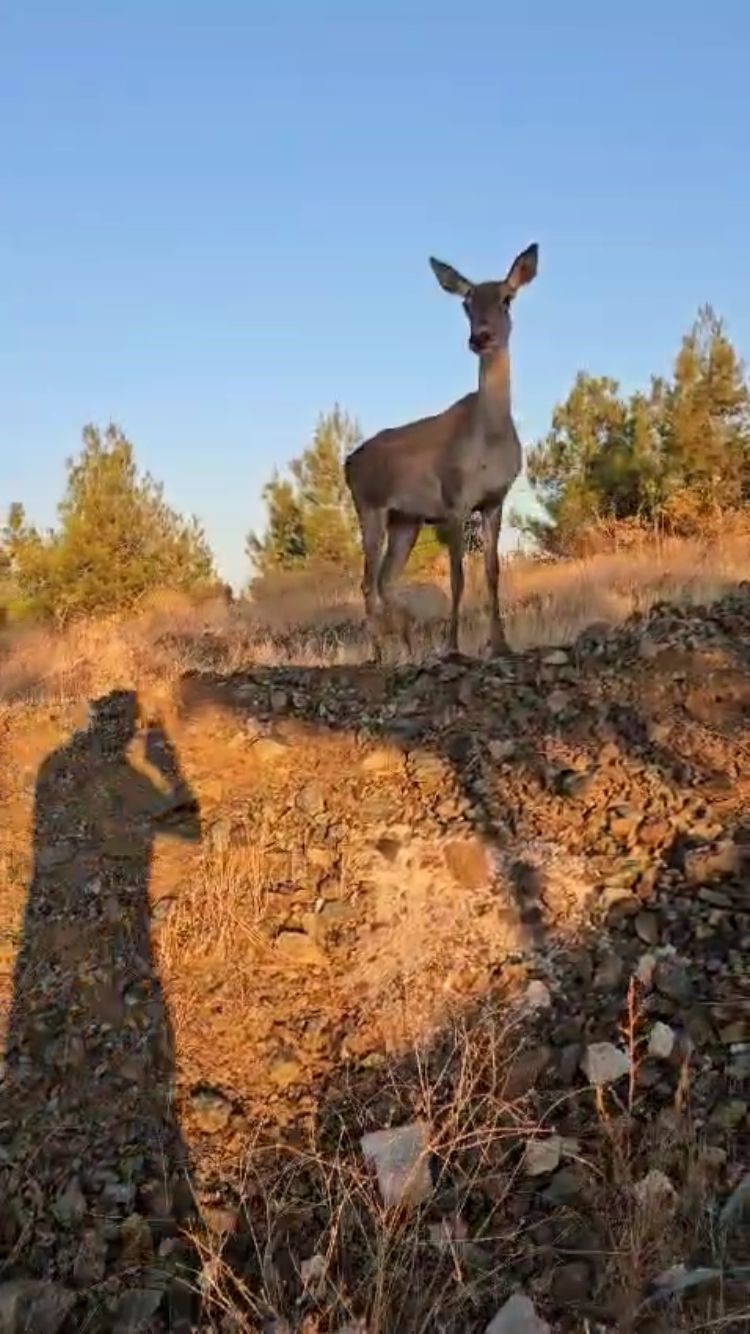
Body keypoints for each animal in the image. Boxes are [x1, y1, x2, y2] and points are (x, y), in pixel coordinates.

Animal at [344, 242, 536, 658]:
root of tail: (347, 462)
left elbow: (492, 572)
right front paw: (452, 646)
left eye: (507, 298)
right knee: (367, 582)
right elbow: (457, 576)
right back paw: (380, 654)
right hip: (370, 508)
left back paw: (408, 644)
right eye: (466, 303)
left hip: (406, 521)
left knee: (385, 579)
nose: (480, 337)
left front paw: (500, 644)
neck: (489, 440)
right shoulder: (454, 500)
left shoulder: (494, 501)